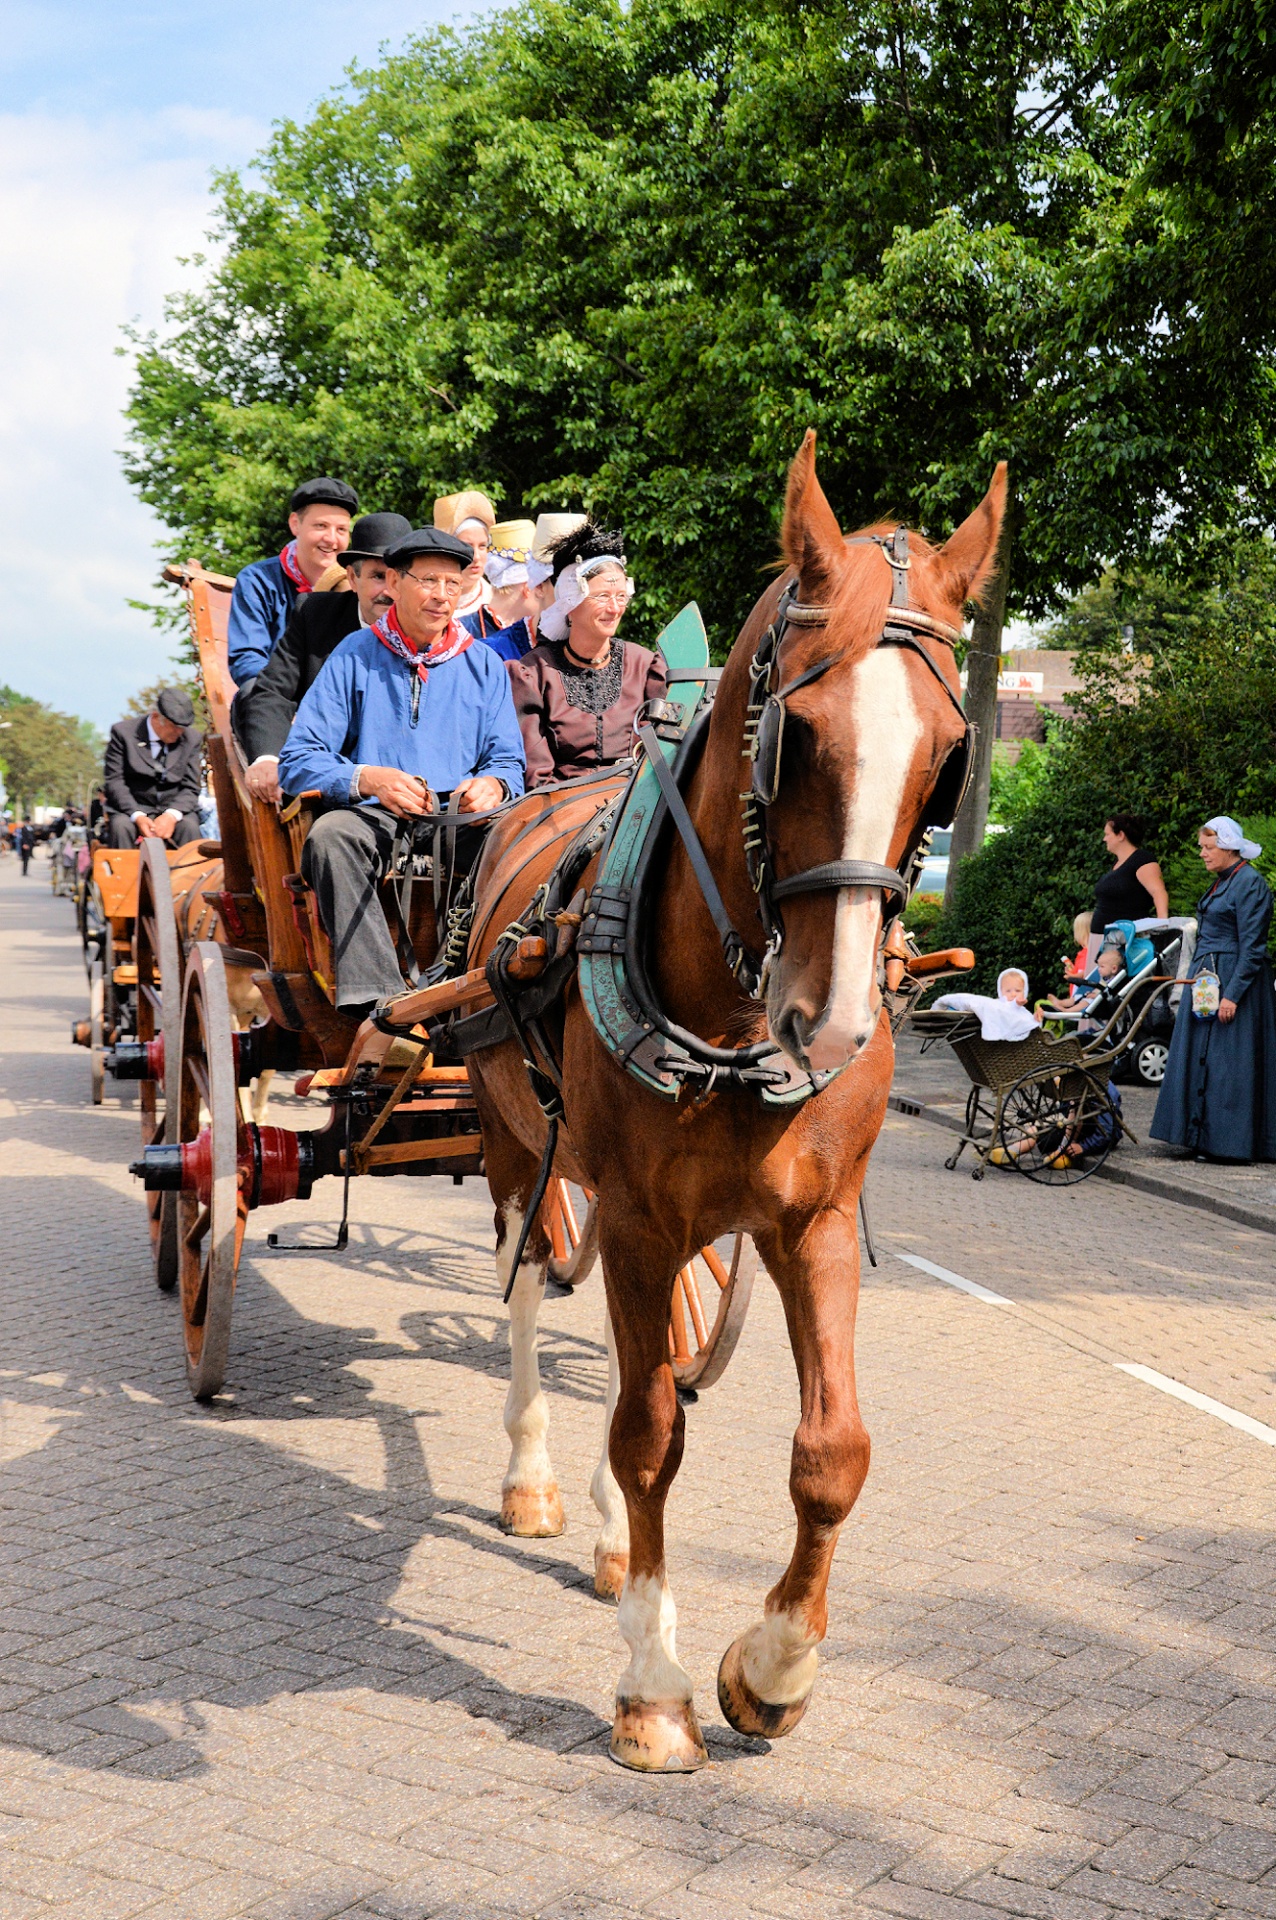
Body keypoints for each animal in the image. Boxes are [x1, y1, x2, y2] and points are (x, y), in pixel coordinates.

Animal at [466, 439, 1005, 1766]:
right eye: (794, 734)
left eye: (947, 754)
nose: (839, 1018)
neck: (732, 1022)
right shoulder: (640, 1222)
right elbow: (648, 1433)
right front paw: (654, 1687)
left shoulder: (812, 1222)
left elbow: (830, 1450)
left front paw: (772, 1667)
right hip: (511, 1145)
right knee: (525, 1298)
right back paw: (534, 1483)